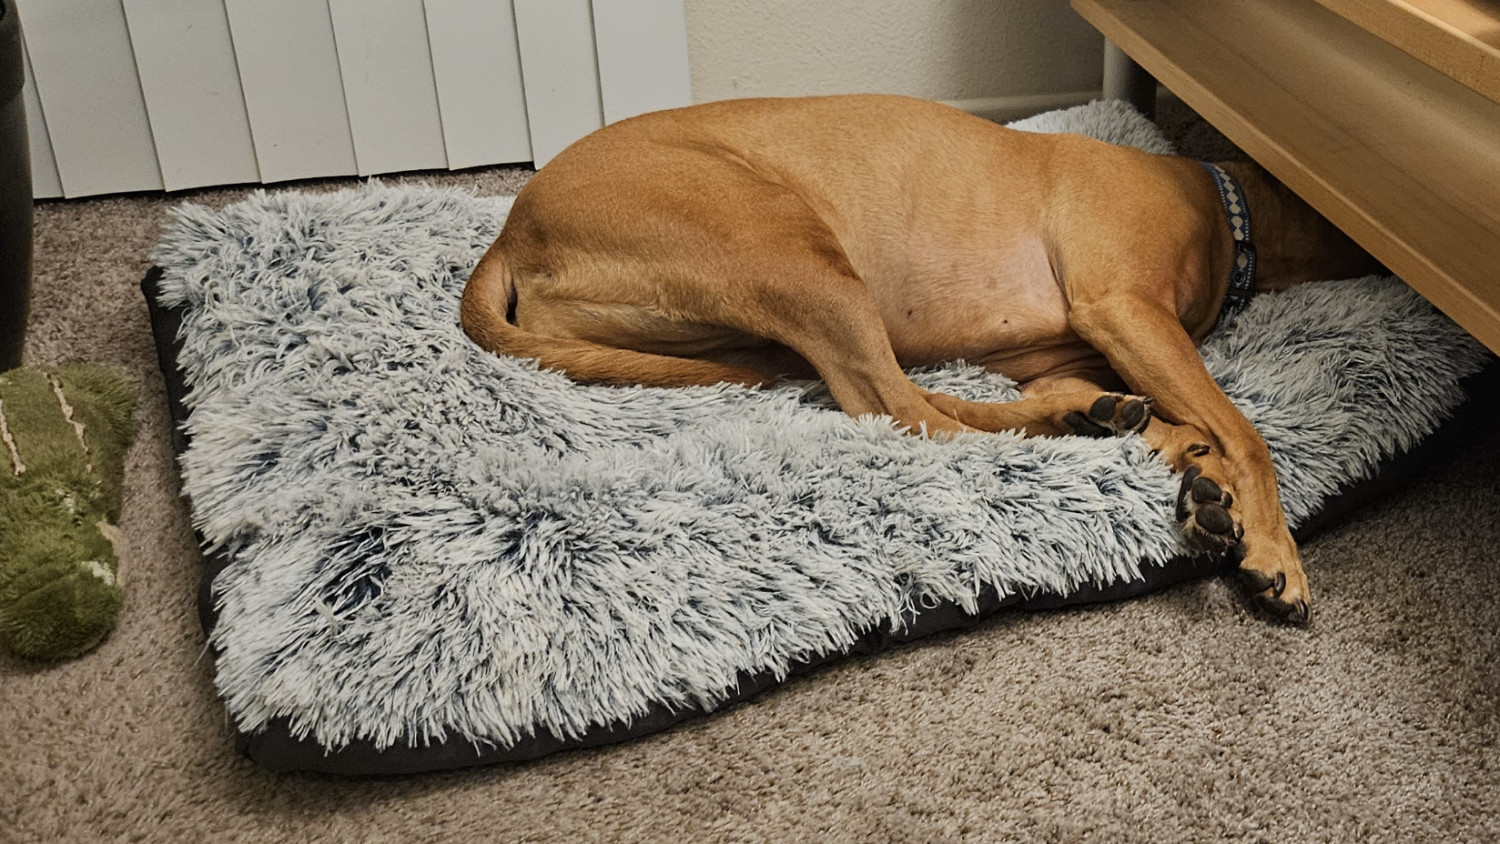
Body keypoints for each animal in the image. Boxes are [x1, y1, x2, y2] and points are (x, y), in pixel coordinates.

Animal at [465, 95, 1380, 623]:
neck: (1224, 214)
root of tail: (512, 229)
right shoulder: (1124, 307)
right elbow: (1247, 432)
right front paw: (1274, 551)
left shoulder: (1073, 347)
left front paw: (1186, 465)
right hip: (792, 251)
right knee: (903, 410)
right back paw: (1113, 441)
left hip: (761, 320)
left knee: (919, 401)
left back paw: (1109, 425)